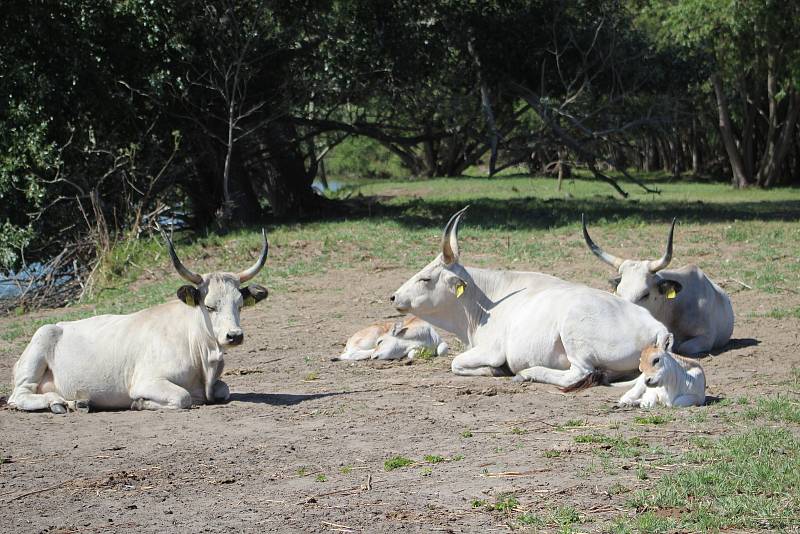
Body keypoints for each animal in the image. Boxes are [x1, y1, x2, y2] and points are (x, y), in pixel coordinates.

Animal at [7, 230, 268, 414]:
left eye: (240, 305)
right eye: (210, 306)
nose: (234, 336)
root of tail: (58, 325)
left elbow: (224, 390)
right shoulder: (146, 381)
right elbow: (182, 397)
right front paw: (140, 403)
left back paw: (78, 403)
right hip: (39, 345)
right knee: (18, 396)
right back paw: (56, 402)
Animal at [390, 207, 672, 392]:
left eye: (426, 278)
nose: (394, 296)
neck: (484, 302)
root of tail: (657, 327)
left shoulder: (492, 350)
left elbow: (456, 363)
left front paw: (497, 371)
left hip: (573, 335)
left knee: (578, 374)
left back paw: (526, 374)